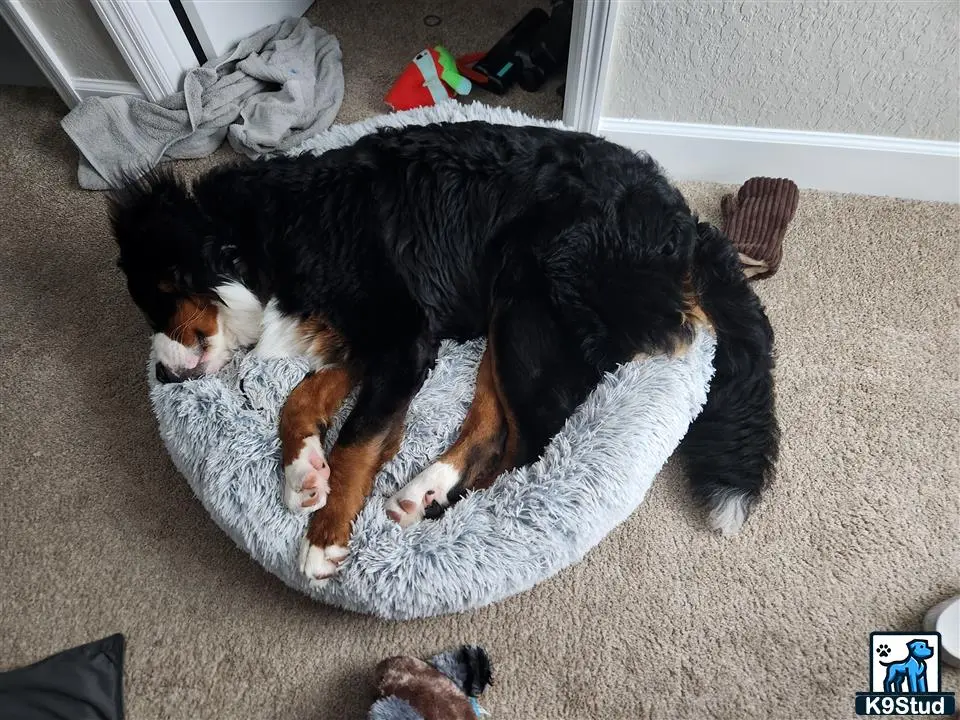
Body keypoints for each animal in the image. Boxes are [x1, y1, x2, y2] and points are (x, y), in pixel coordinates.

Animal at [109, 121, 776, 584]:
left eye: (153, 299)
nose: (162, 376)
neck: (262, 239)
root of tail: (686, 225)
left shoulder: (403, 336)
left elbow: (356, 441)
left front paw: (324, 537)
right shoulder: (373, 342)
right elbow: (300, 401)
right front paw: (302, 471)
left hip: (530, 300)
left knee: (531, 444)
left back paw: (449, 507)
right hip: (510, 313)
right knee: (491, 426)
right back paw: (424, 490)